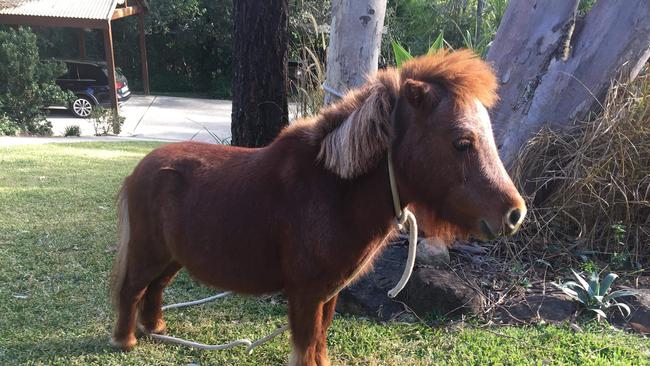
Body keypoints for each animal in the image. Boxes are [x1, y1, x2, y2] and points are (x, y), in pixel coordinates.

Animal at [110, 50, 528, 364]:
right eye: (462, 142)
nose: (514, 213)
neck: (334, 192)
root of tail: (139, 171)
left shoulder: (329, 293)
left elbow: (320, 342)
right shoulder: (306, 294)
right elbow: (307, 345)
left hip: (171, 257)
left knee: (154, 288)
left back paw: (156, 329)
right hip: (149, 252)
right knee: (132, 288)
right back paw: (125, 341)